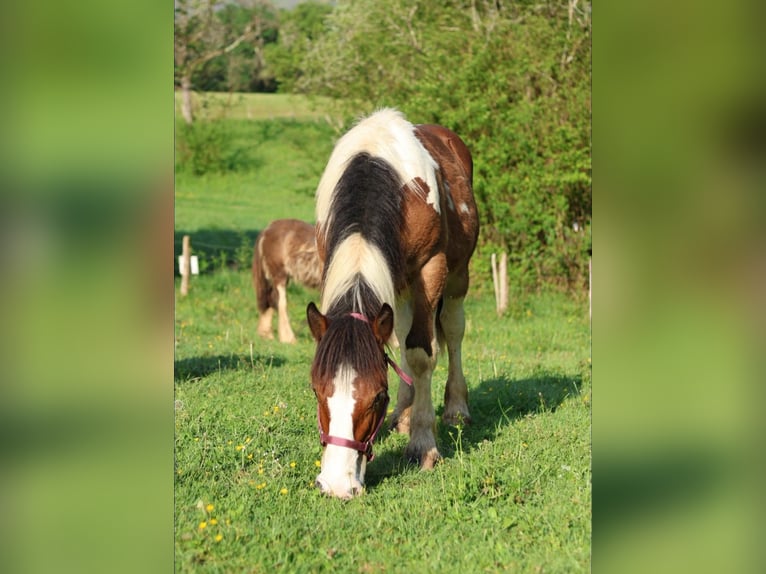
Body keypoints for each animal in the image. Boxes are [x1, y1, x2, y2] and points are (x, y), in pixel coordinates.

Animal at [306, 108, 479, 498]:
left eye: (376, 397)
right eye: (318, 391)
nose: (337, 485)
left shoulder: (431, 267)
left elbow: (422, 353)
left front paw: (423, 444)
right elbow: (402, 347)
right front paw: (406, 418)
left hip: (456, 276)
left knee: (452, 332)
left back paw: (456, 409)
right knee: (398, 336)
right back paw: (404, 414)